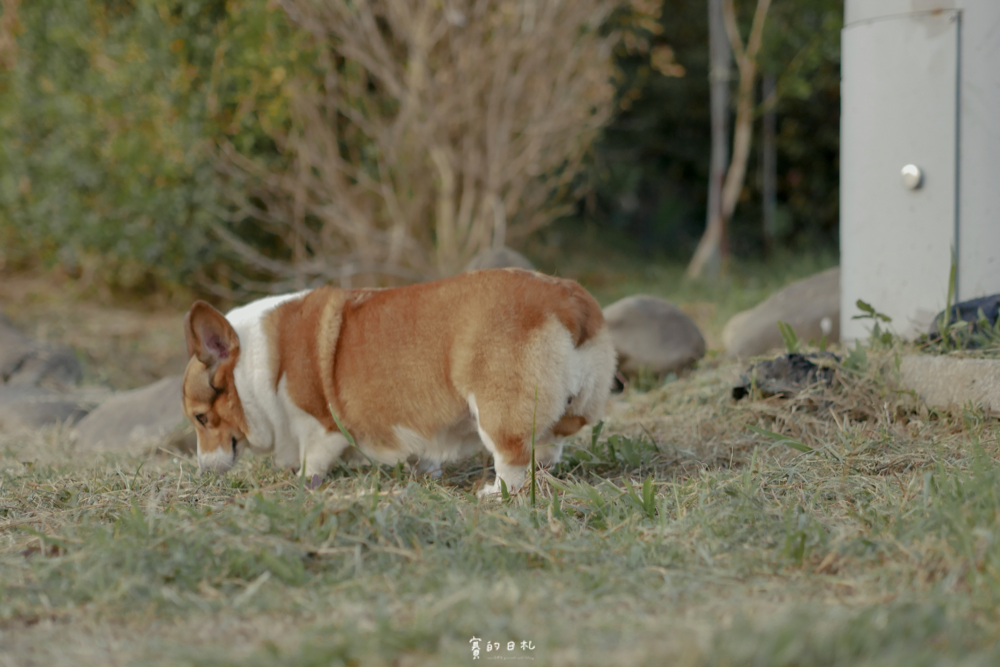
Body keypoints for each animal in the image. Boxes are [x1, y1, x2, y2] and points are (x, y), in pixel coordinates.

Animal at [183, 270, 612, 496]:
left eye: (201, 418)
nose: (202, 471)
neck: (259, 365)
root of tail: (571, 302)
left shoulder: (319, 427)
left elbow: (314, 458)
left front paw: (305, 482)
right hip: (567, 410)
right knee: (549, 446)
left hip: (495, 409)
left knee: (512, 458)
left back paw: (495, 493)